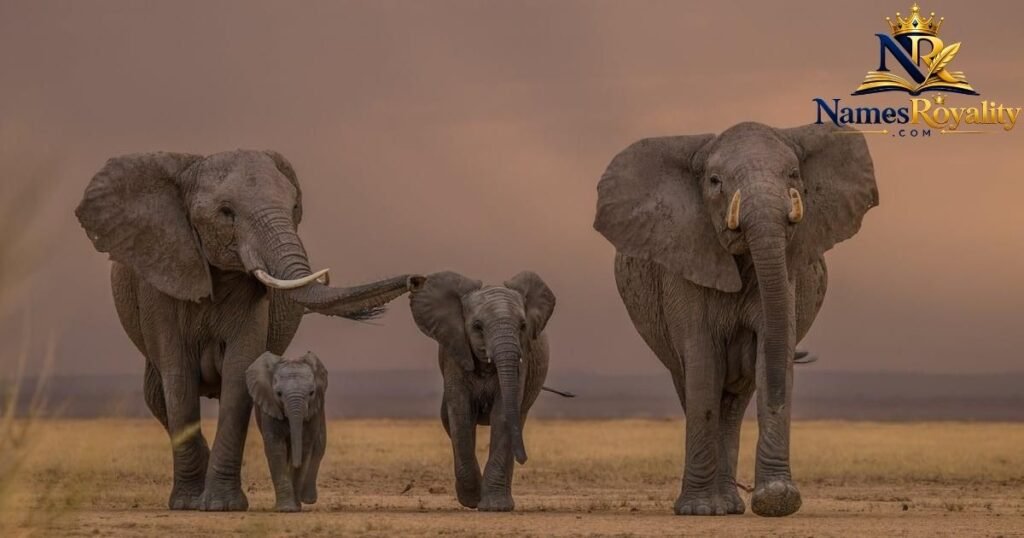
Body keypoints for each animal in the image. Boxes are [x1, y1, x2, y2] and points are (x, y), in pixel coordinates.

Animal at [247, 351, 327, 512]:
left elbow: (305, 446)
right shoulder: (269, 406)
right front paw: (286, 509)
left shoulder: (314, 411)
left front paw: (294, 507)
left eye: (311, 393)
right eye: (278, 394)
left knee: (319, 446)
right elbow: (275, 447)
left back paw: (307, 500)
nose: (295, 464)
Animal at [409, 271, 556, 512]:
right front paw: (471, 500)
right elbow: (460, 413)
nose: (525, 458)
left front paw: (494, 506)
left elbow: (503, 414)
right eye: (477, 326)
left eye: (523, 326)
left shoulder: (522, 357)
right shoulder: (454, 353)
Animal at [594, 122, 877, 517]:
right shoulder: (685, 260)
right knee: (694, 386)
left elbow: (772, 349)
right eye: (715, 181)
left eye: (794, 175)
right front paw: (698, 510)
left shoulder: (787, 271)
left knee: (735, 402)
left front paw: (777, 500)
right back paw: (714, 505)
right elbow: (702, 362)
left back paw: (729, 504)